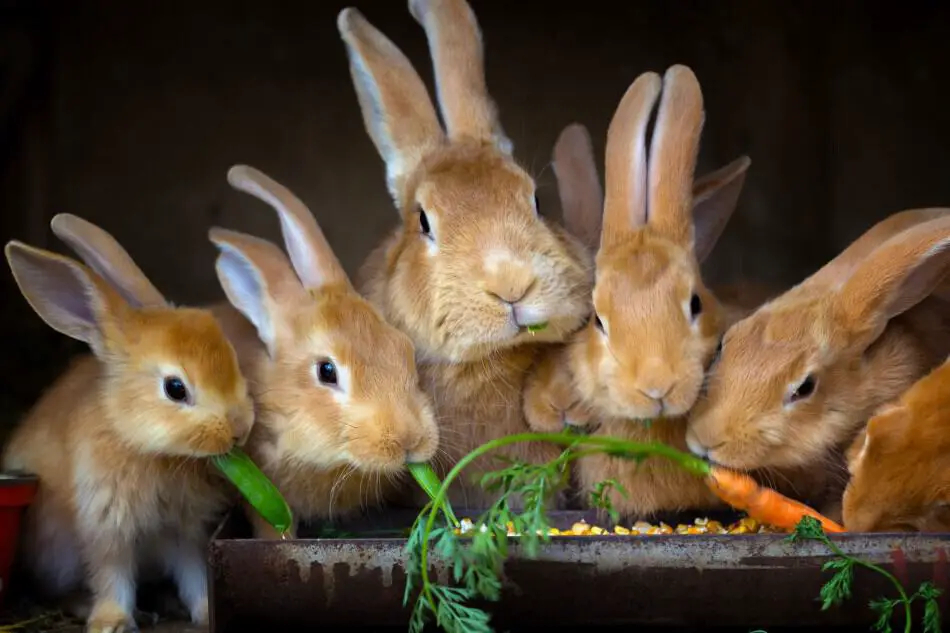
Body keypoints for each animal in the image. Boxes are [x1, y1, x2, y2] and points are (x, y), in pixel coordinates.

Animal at [3, 227, 255, 632]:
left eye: (232, 359)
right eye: (175, 388)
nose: (240, 429)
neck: (151, 449)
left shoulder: (183, 530)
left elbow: (193, 572)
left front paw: (204, 611)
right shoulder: (107, 528)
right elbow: (112, 576)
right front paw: (113, 622)